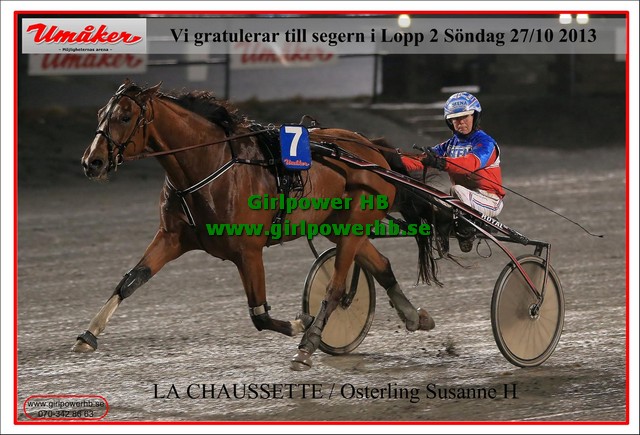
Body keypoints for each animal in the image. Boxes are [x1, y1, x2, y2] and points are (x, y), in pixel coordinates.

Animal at [76, 79, 442, 370]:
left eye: (125, 117)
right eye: (100, 114)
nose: (92, 162)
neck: (212, 165)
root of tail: (372, 149)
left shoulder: (247, 251)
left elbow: (259, 314)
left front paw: (299, 324)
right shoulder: (172, 238)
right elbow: (130, 281)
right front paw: (88, 335)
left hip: (353, 225)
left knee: (336, 288)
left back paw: (307, 346)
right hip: (338, 226)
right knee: (382, 265)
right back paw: (414, 316)